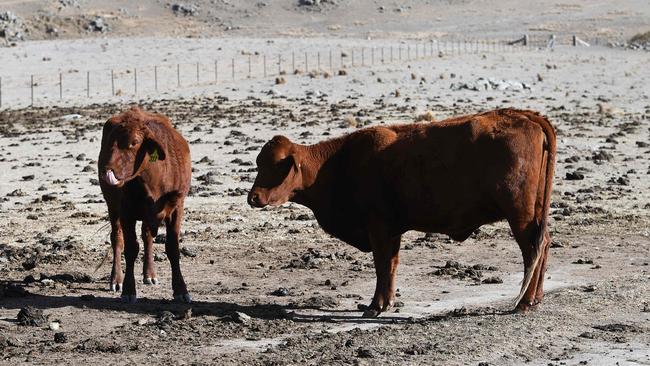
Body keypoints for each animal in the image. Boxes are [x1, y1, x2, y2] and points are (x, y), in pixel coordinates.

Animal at [96, 107, 192, 304]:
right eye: (109, 141)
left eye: (134, 142)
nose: (107, 169)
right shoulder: (126, 212)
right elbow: (130, 248)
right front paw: (128, 290)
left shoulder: (176, 208)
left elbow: (172, 248)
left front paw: (180, 289)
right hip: (112, 207)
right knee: (117, 238)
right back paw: (116, 279)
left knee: (147, 235)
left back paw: (149, 274)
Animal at [246, 108, 556, 318]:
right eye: (259, 163)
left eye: (275, 165)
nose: (253, 197)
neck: (337, 163)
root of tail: (525, 116)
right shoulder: (392, 231)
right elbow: (391, 266)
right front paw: (386, 302)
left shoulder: (378, 228)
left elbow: (382, 265)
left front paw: (375, 306)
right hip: (534, 214)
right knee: (543, 246)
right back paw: (536, 298)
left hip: (519, 215)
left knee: (532, 249)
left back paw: (524, 302)